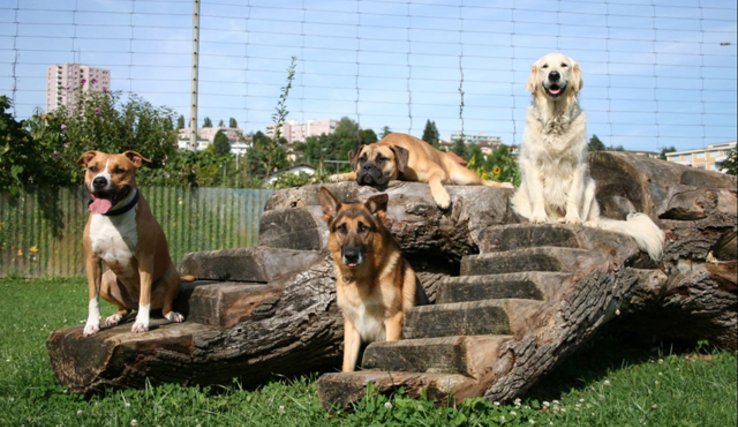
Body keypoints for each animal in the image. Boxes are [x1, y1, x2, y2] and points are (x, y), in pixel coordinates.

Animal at [76, 151, 185, 338]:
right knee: (124, 308)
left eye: (119, 170)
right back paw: (115, 317)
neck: (113, 216)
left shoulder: (145, 259)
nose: (99, 181)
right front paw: (92, 324)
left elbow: (145, 297)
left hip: (172, 277)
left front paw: (142, 323)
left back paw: (172, 314)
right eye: (93, 168)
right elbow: (92, 298)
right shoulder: (92, 260)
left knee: (164, 305)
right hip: (106, 280)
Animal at [316, 187, 426, 372]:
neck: (360, 278)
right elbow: (347, 366)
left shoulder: (393, 320)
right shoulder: (352, 326)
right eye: (342, 229)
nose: (351, 256)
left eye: (363, 228)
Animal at [330, 132, 508, 209]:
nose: (367, 167)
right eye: (362, 159)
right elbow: (353, 173)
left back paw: (504, 184)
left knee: (484, 181)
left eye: (382, 159)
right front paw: (338, 175)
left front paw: (441, 197)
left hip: (463, 176)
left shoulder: (437, 171)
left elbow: (433, 180)